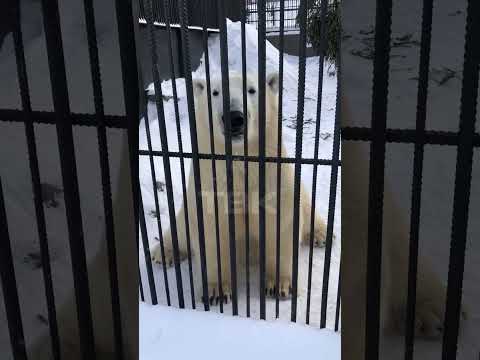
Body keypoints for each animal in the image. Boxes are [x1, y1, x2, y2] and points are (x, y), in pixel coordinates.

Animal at [152, 71, 328, 302]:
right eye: (215, 92)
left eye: (251, 90)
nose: (234, 117)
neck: (240, 160)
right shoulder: (211, 178)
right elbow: (213, 227)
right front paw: (217, 291)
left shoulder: (273, 174)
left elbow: (280, 221)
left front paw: (279, 285)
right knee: (181, 226)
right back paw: (164, 252)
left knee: (306, 205)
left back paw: (320, 235)